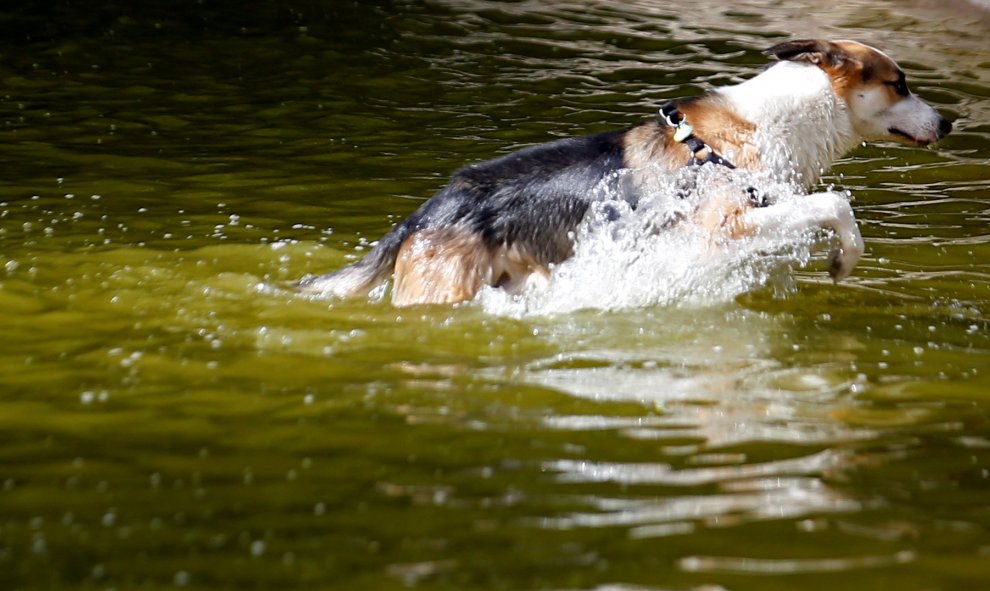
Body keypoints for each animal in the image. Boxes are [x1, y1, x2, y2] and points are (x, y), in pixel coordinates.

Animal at [296, 38, 952, 306]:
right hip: (440, 293)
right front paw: (843, 259)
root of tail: (428, 213)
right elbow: (835, 204)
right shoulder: (726, 225)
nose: (948, 123)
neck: (777, 121)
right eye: (899, 84)